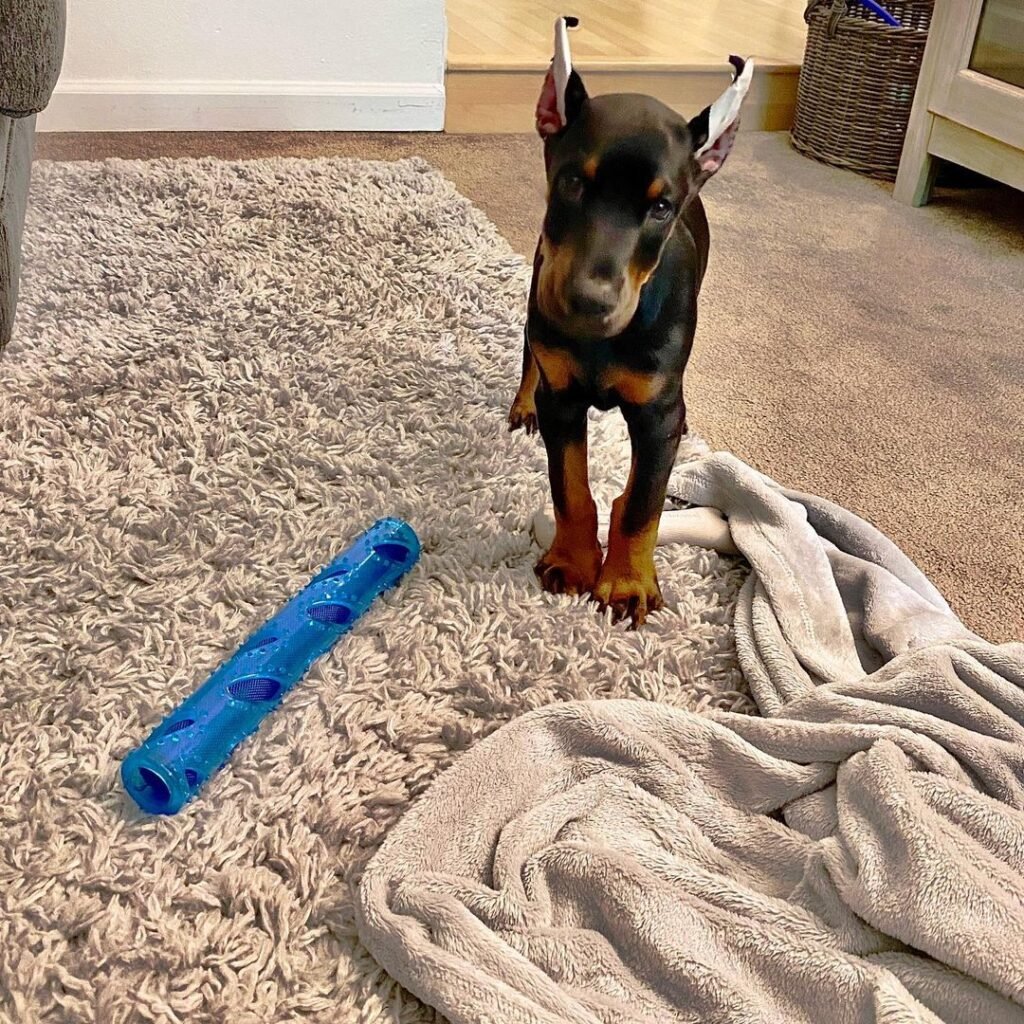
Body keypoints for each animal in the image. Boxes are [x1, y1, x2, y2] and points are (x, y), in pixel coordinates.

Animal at [508, 17, 753, 627]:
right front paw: (572, 562)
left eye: (661, 208)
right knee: (528, 354)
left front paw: (625, 584)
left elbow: (642, 502)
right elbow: (570, 489)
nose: (588, 301)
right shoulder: (563, 398)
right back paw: (522, 403)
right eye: (572, 182)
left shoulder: (657, 412)